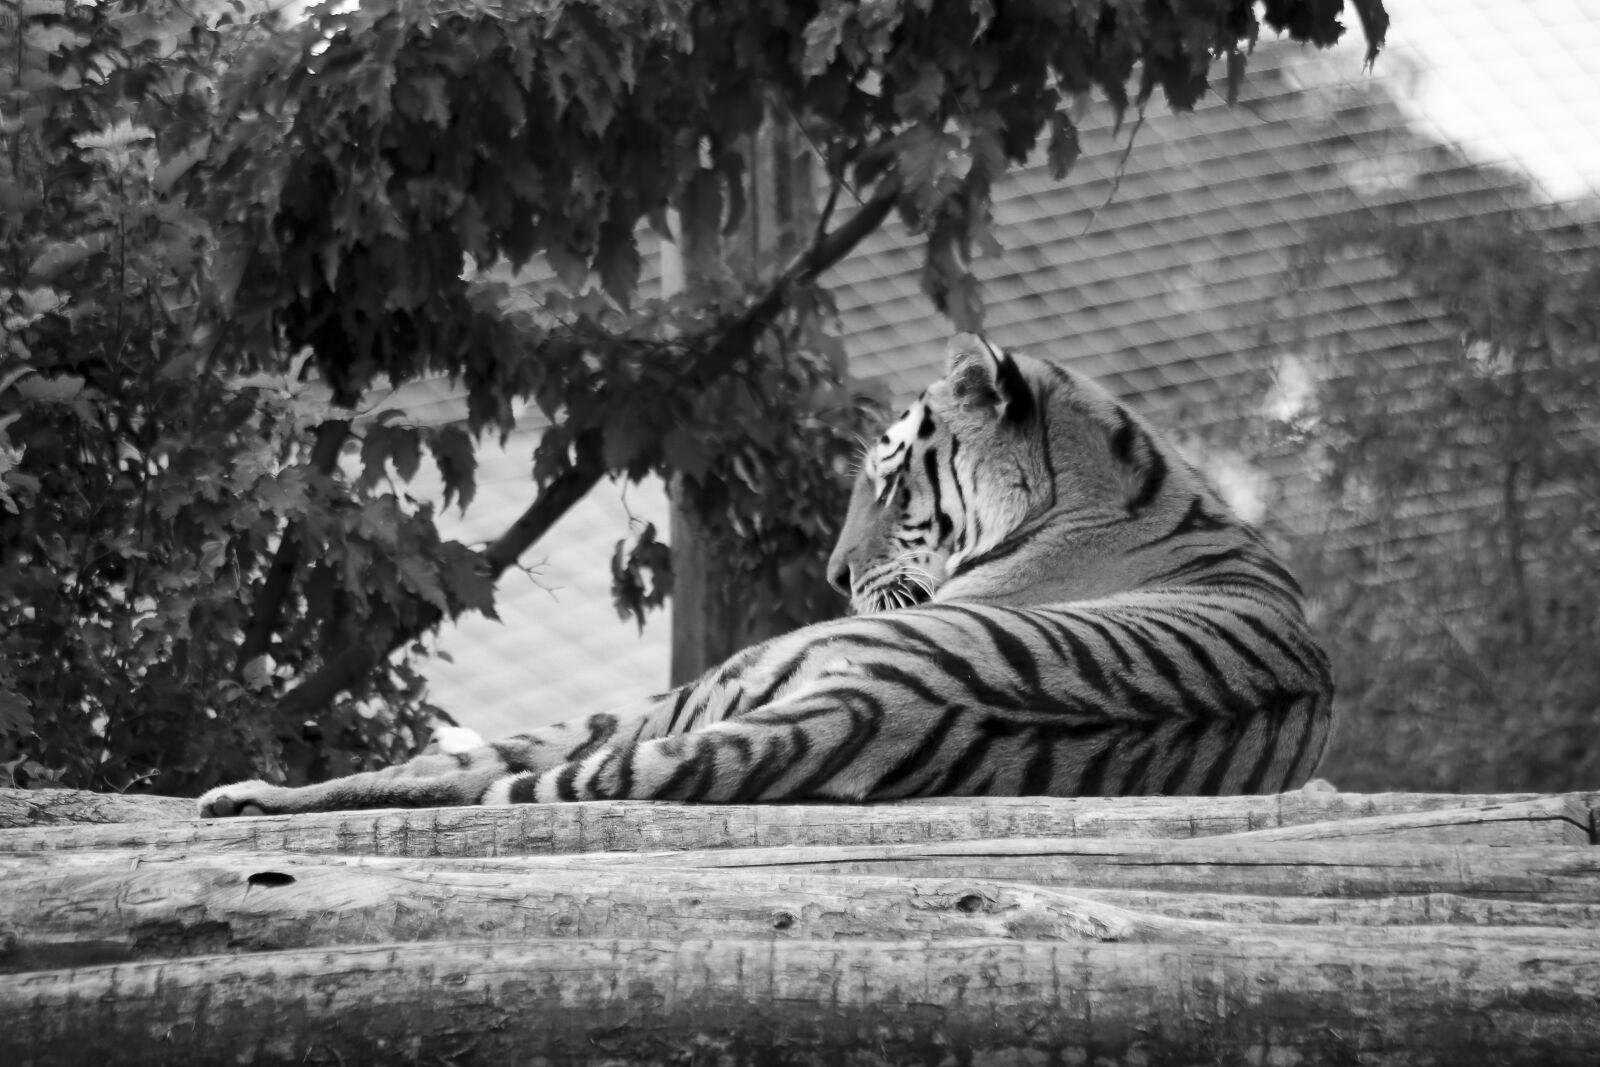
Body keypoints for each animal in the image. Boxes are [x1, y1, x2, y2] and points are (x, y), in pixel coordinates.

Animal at [198, 333, 1332, 817]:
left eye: (888, 481)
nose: (833, 570)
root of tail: (878, 702)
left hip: (718, 680)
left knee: (481, 765)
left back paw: (244, 794)